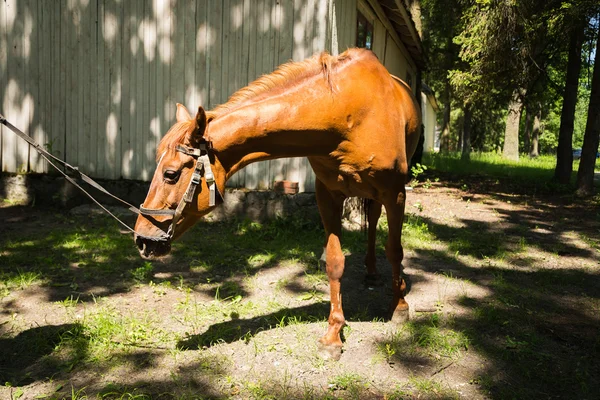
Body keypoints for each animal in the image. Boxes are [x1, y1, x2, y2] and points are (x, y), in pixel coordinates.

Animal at [134, 47, 420, 360]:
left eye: (170, 174)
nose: (142, 239)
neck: (348, 115)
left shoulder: (396, 193)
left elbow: (395, 251)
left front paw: (400, 306)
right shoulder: (328, 196)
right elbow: (334, 262)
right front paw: (333, 334)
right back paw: (370, 273)